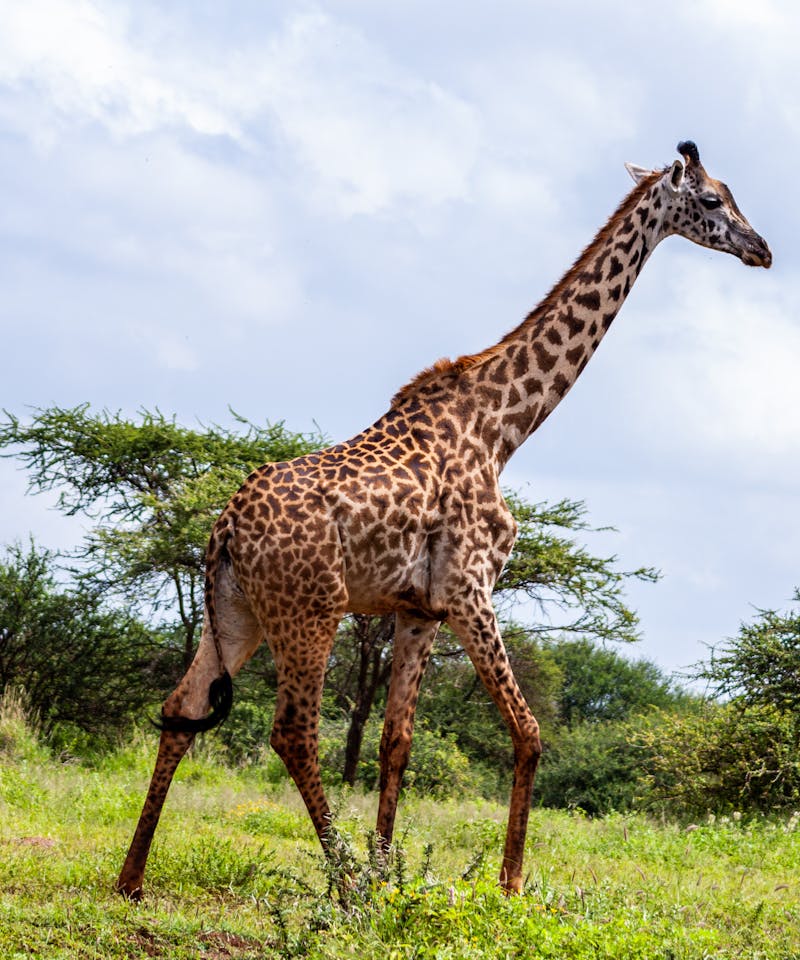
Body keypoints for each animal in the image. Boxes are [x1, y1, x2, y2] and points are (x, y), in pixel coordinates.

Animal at [115, 142, 772, 900]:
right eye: (714, 200)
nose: (763, 250)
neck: (503, 427)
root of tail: (224, 529)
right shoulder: (470, 589)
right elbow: (529, 732)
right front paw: (507, 884)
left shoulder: (418, 608)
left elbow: (395, 740)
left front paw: (389, 874)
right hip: (311, 609)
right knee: (292, 732)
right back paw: (343, 888)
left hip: (238, 611)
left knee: (182, 707)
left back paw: (132, 879)